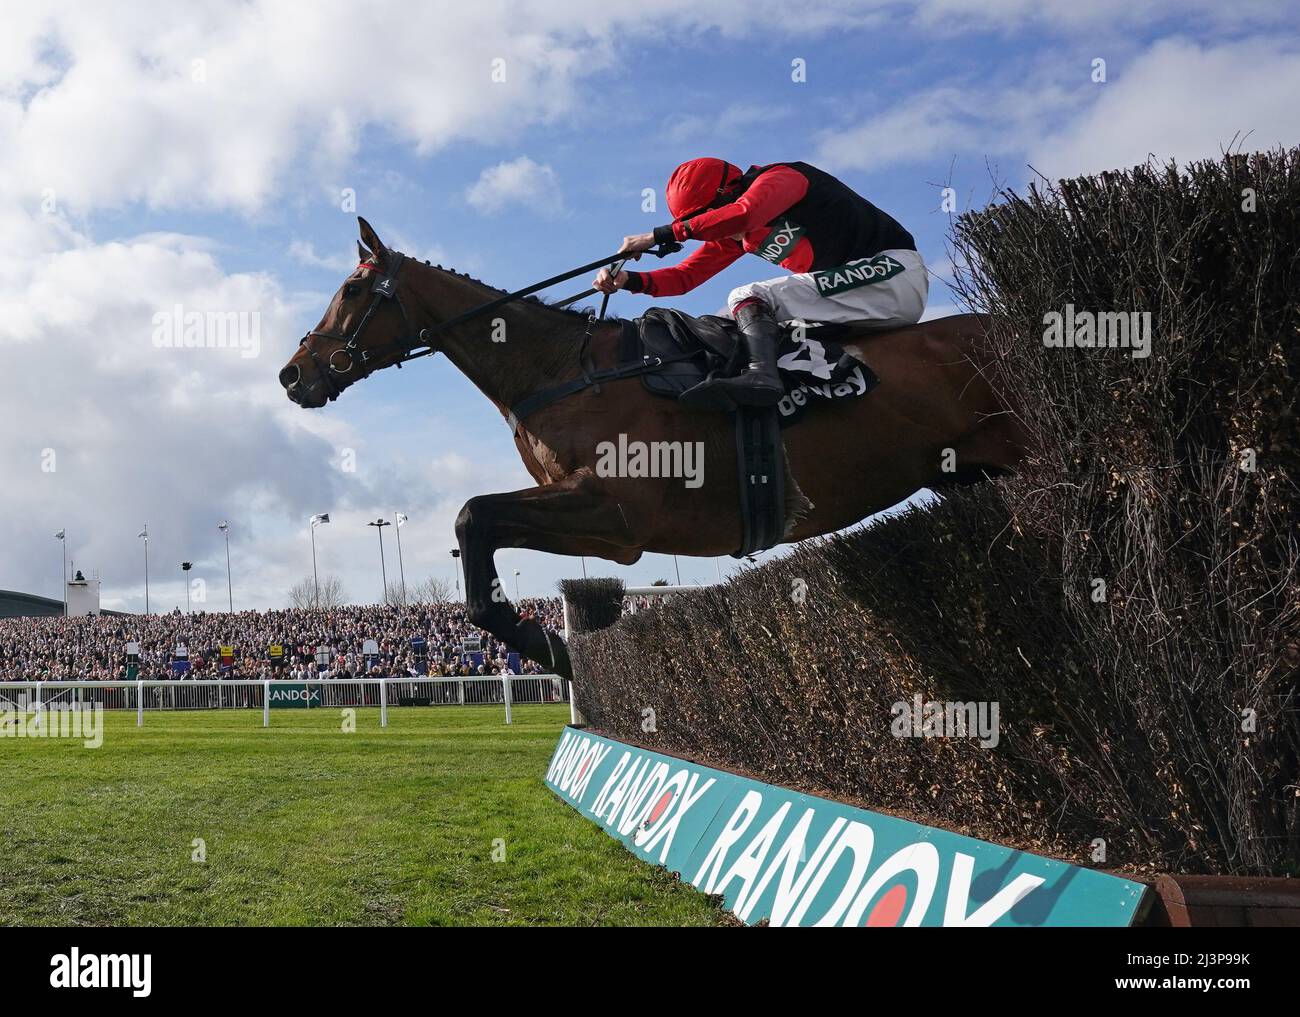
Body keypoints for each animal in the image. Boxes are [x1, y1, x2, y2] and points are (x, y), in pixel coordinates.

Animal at [276, 217, 1024, 676]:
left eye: (352, 289)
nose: (293, 374)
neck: (560, 370)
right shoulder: (598, 519)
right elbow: (479, 529)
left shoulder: (619, 515)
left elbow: (471, 517)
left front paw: (553, 648)